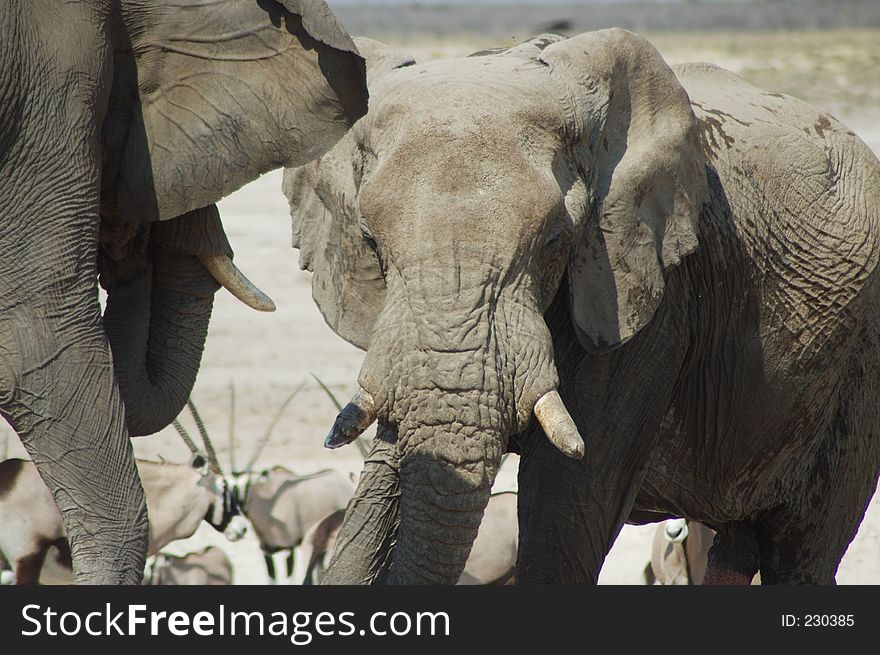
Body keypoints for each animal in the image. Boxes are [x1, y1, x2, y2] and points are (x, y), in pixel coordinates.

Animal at [284, 29, 880, 584]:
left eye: (555, 241)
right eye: (369, 239)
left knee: (799, 554)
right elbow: (382, 487)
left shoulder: (649, 297)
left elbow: (566, 508)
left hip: (856, 370)